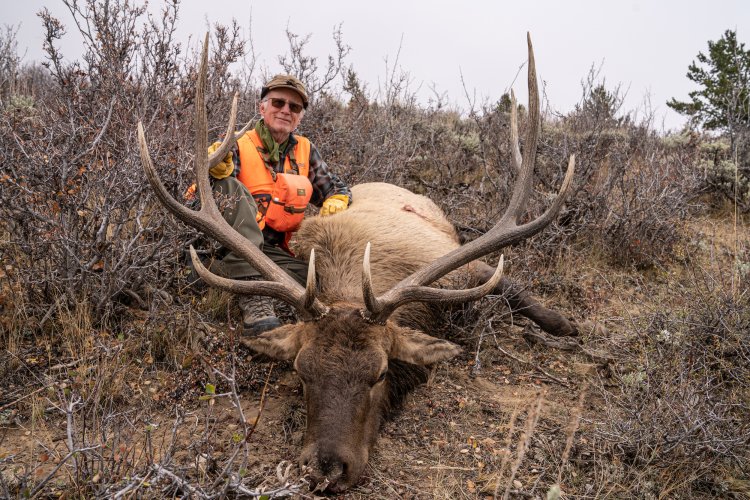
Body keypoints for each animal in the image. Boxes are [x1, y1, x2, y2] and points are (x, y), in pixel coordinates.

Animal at [138, 33, 578, 493]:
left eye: (380, 373)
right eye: (301, 370)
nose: (328, 468)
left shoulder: (455, 265)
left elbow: (511, 285)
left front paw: (564, 325)